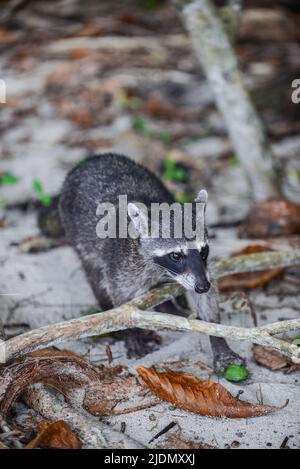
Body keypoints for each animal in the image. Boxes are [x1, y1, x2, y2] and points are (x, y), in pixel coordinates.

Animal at [43, 153, 244, 370]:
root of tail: (89, 161)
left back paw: (168, 308)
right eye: (176, 255)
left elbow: (209, 297)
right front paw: (131, 332)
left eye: (203, 250)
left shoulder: (201, 269)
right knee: (95, 276)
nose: (201, 286)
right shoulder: (124, 266)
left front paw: (218, 339)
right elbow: (121, 300)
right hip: (78, 235)